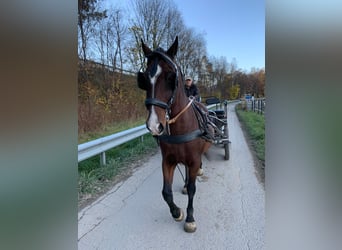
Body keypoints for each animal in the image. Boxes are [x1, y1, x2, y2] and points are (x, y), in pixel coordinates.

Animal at [137, 35, 212, 232]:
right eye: (144, 78)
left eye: (171, 76)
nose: (154, 125)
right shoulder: (168, 161)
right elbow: (166, 192)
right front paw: (177, 212)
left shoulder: (194, 159)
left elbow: (193, 189)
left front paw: (190, 218)